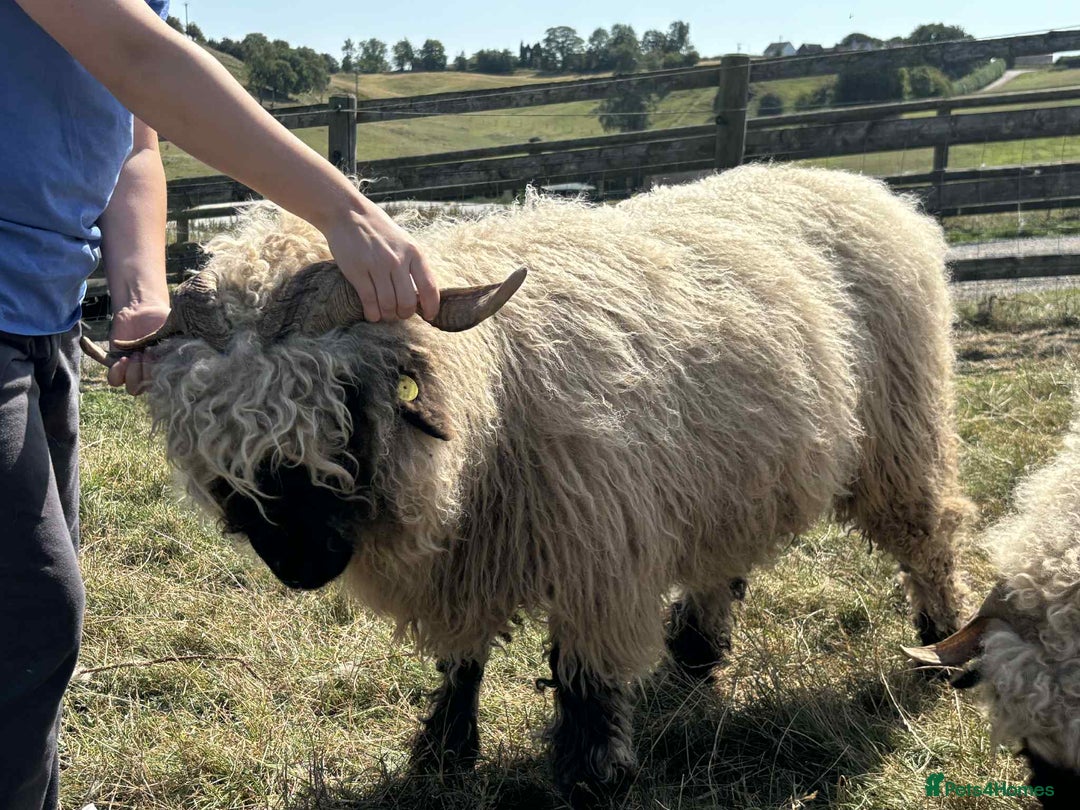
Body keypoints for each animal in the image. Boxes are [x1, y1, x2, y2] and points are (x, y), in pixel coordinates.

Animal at [85, 164, 970, 803]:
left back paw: (941, 641)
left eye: (343, 399)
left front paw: (591, 773)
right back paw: (695, 653)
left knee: (932, 530)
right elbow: (461, 661)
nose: (301, 565)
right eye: (215, 453)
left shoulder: (597, 548)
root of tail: (872, 189)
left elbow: (584, 673)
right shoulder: (469, 556)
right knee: (724, 557)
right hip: (732, 471)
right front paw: (443, 753)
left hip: (900, 434)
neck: (488, 393)